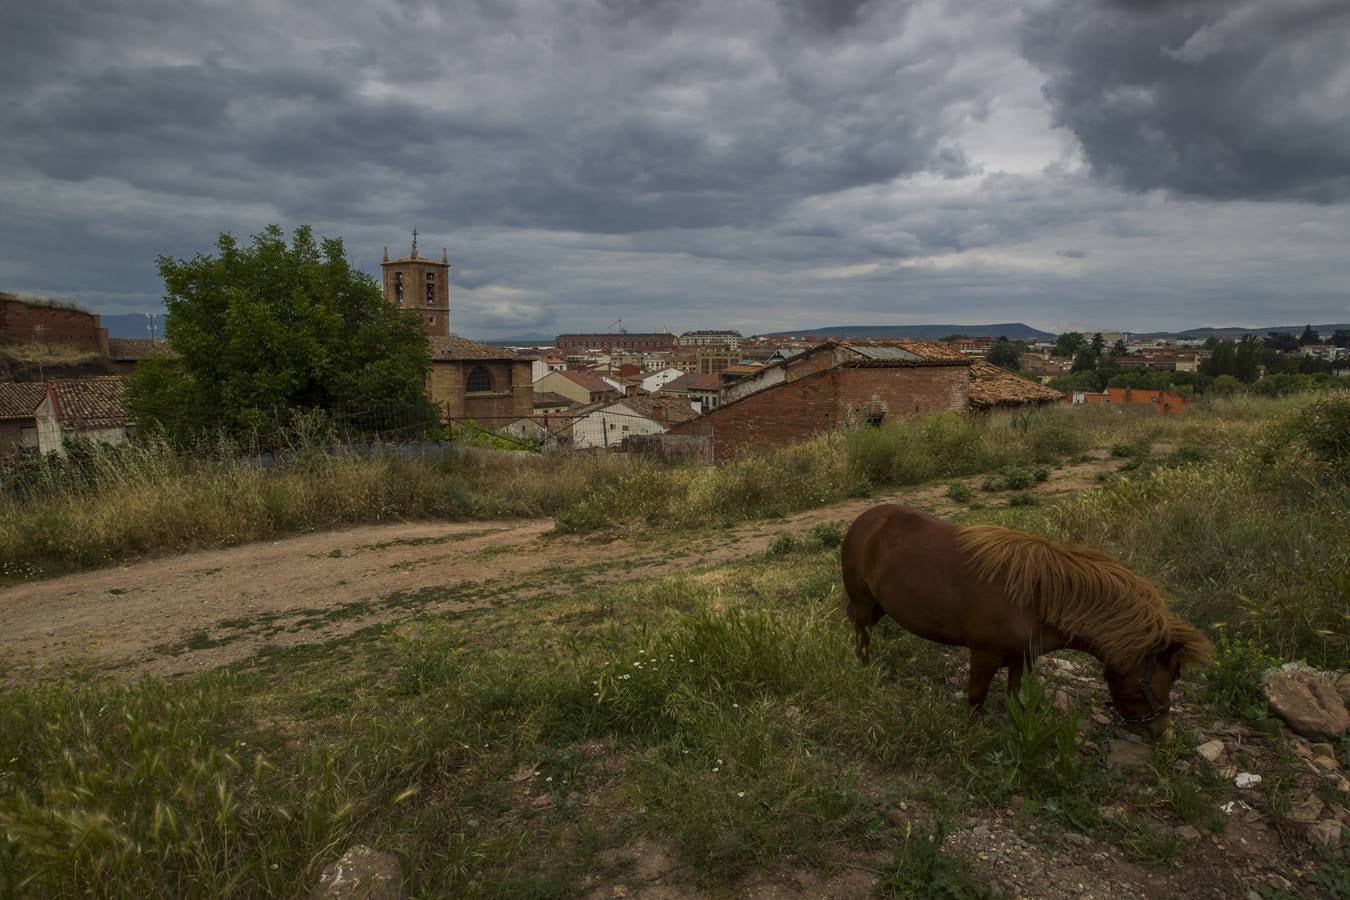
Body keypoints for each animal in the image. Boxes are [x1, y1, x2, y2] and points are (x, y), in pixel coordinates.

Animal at [842, 504, 1215, 734]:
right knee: (861, 642)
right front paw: (967, 735)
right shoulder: (984, 654)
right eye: (1174, 674)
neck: (1035, 598)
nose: (1161, 731)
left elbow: (1015, 695)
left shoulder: (1020, 657)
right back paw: (864, 676)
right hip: (862, 605)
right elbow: (975, 697)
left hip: (879, 607)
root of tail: (866, 520)